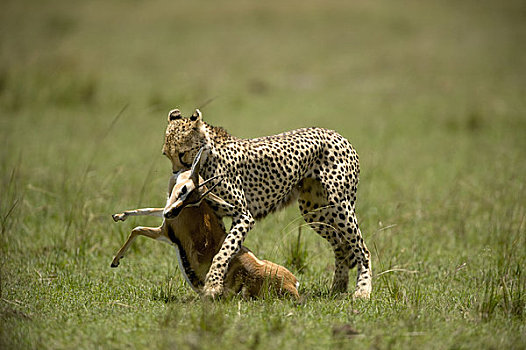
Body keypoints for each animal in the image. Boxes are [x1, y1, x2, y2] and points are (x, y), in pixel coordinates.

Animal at [163, 107, 374, 298]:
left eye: (182, 153)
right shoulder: (217, 216)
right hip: (315, 211)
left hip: (339, 205)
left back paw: (362, 291)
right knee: (341, 246)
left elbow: (225, 249)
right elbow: (221, 248)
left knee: (362, 249)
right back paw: (338, 287)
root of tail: (336, 134)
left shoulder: (244, 215)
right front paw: (216, 283)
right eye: (166, 155)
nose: (175, 174)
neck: (207, 159)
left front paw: (213, 284)